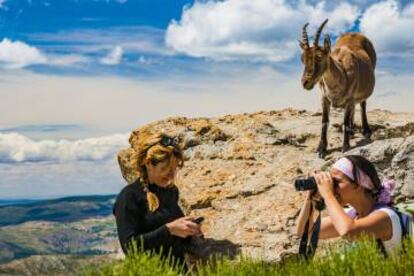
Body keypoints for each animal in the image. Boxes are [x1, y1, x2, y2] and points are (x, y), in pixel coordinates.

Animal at [300, 19, 376, 158]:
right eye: (302, 58)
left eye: (319, 56)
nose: (305, 82)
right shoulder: (324, 98)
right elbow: (324, 121)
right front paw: (321, 149)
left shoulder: (350, 99)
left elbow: (345, 121)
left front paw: (345, 147)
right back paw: (352, 131)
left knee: (362, 105)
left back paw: (366, 130)